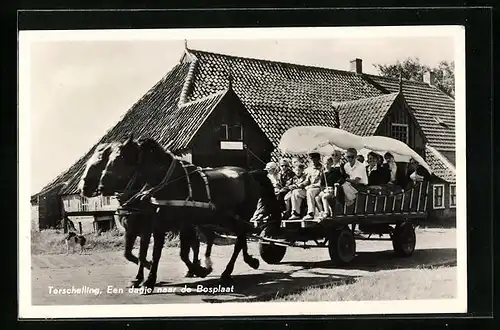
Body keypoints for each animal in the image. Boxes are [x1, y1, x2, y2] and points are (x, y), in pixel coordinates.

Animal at [95, 136, 280, 288]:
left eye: (119, 158)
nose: (101, 186)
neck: (171, 183)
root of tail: (249, 173)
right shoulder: (158, 226)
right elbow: (154, 254)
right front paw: (149, 279)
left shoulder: (181, 224)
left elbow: (182, 253)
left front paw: (199, 270)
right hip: (223, 219)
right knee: (237, 237)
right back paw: (244, 261)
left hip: (240, 215)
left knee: (240, 239)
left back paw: (229, 270)